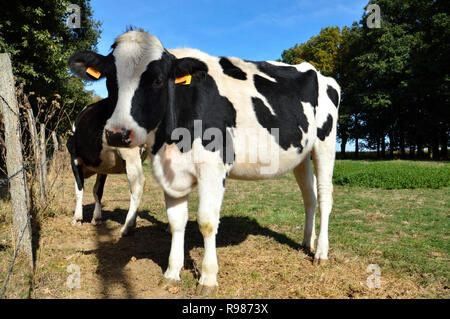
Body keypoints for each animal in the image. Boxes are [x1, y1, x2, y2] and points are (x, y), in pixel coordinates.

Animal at [66, 99, 147, 236]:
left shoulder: (74, 159)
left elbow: (79, 190)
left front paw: (77, 219)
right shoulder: (103, 167)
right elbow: (97, 191)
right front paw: (97, 218)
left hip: (130, 153)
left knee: (137, 185)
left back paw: (127, 226)